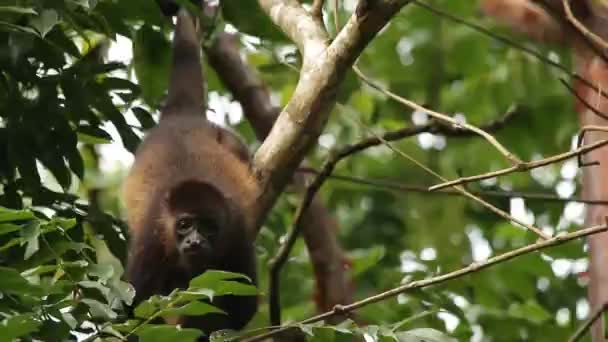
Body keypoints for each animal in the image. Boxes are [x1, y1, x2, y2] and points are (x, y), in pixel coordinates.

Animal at [122, 8, 258, 340]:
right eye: (184, 225)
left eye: (208, 226)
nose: (194, 242)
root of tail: (183, 117)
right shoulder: (152, 233)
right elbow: (136, 307)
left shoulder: (237, 230)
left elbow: (242, 304)